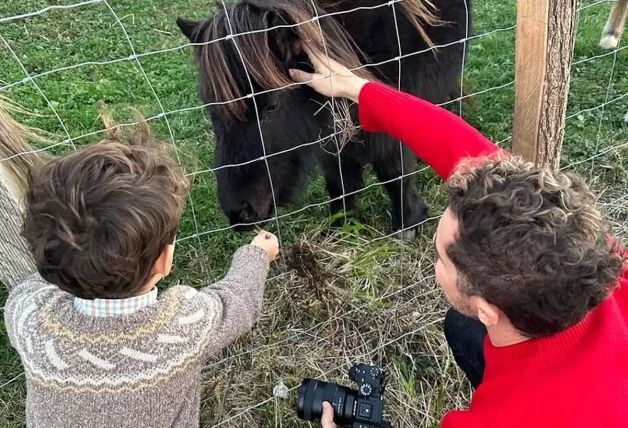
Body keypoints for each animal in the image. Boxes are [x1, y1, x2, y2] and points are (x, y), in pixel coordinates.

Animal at [177, 0, 472, 241]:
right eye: (210, 106)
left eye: (271, 106)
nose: (240, 214)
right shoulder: (329, 132)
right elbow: (339, 178)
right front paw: (340, 223)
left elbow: (393, 170)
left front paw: (407, 222)